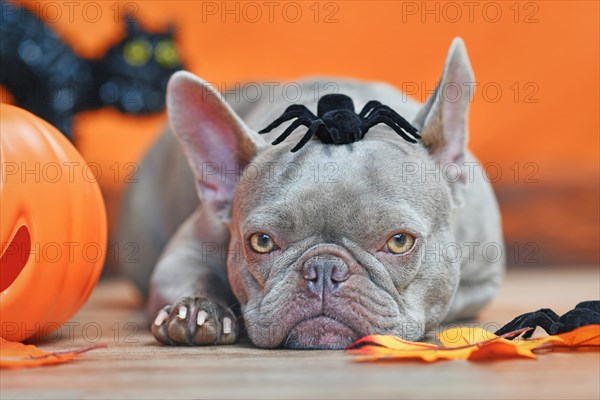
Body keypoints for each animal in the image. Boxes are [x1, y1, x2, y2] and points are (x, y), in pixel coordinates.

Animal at [117, 38, 502, 350]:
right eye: (261, 242)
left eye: (399, 242)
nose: (324, 269)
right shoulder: (182, 252)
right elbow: (190, 272)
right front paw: (195, 309)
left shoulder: (481, 282)